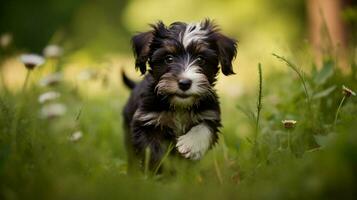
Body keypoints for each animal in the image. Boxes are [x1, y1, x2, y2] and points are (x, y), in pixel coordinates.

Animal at [122, 18, 236, 170]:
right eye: (169, 58)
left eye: (200, 59)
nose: (184, 83)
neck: (179, 106)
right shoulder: (145, 121)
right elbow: (152, 150)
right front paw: (159, 169)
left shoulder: (210, 114)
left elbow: (205, 128)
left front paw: (191, 144)